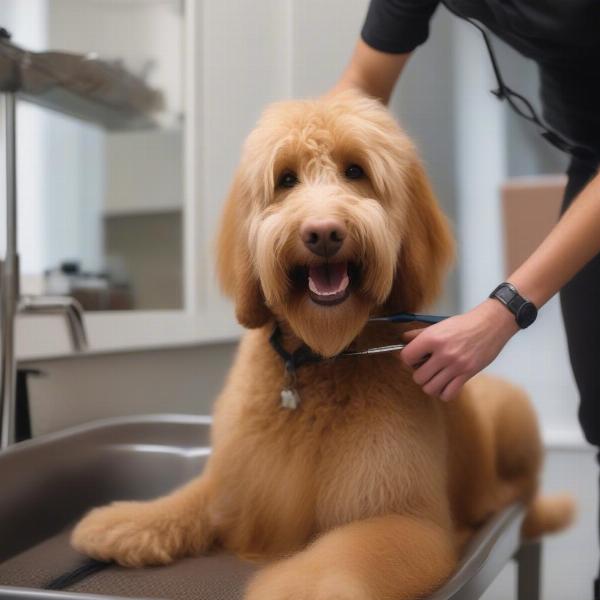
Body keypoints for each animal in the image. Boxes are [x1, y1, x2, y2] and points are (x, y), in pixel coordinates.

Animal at [72, 91, 576, 596]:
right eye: (286, 178)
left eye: (356, 170)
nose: (323, 232)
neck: (320, 361)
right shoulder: (241, 483)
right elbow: (195, 496)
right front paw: (128, 521)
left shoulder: (403, 518)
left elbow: (338, 562)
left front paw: (290, 588)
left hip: (513, 413)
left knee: (527, 491)